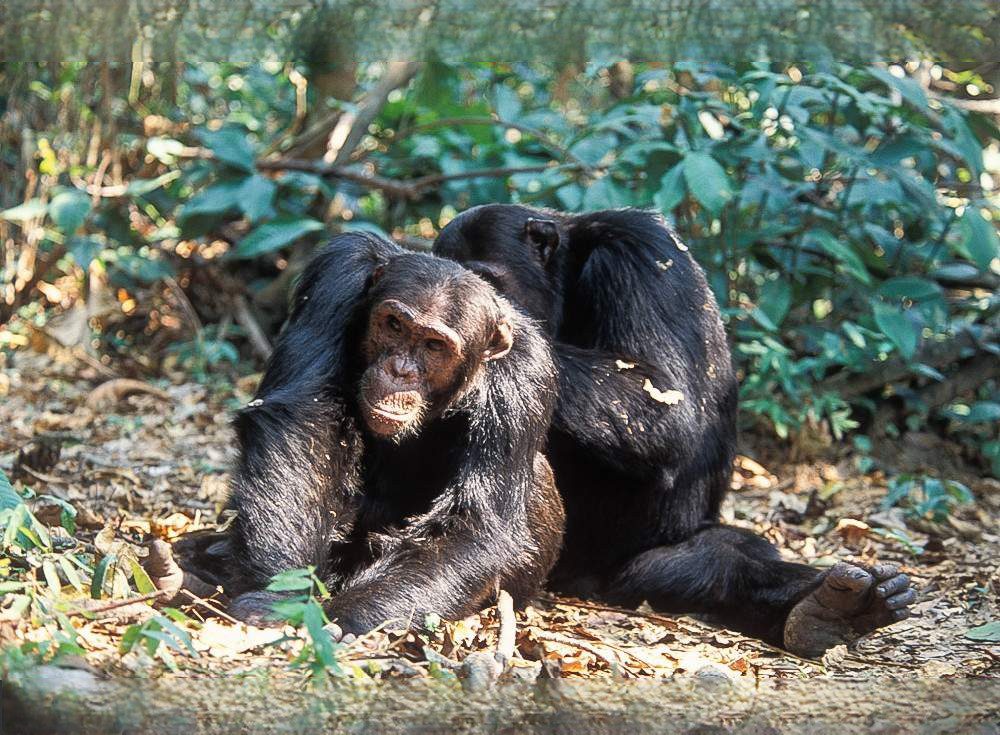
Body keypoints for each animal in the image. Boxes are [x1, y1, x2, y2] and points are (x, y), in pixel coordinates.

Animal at [152, 233, 568, 636]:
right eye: (394, 325)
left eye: (434, 346)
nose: (400, 370)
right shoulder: (337, 275)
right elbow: (305, 418)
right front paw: (281, 598)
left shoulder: (527, 373)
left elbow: (474, 523)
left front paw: (338, 617)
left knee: (537, 478)